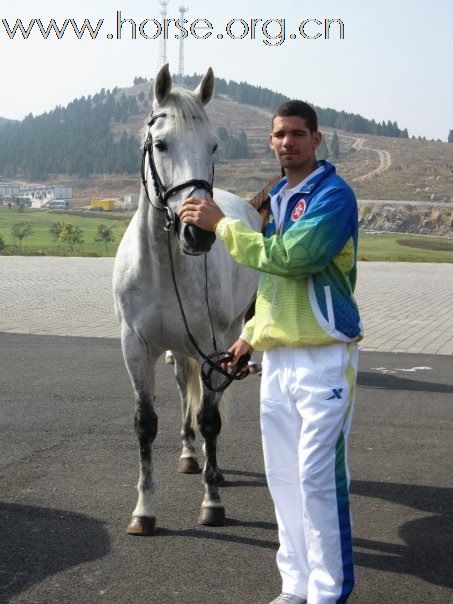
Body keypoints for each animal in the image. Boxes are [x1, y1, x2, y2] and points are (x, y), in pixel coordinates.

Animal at [112, 66, 260, 536]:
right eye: (160, 143)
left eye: (213, 145)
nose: (198, 232)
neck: (164, 267)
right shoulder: (136, 347)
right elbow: (146, 424)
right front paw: (143, 510)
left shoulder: (216, 346)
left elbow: (211, 419)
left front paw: (212, 503)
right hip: (179, 349)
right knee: (183, 391)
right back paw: (189, 454)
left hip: (223, 344)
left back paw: (213, 469)